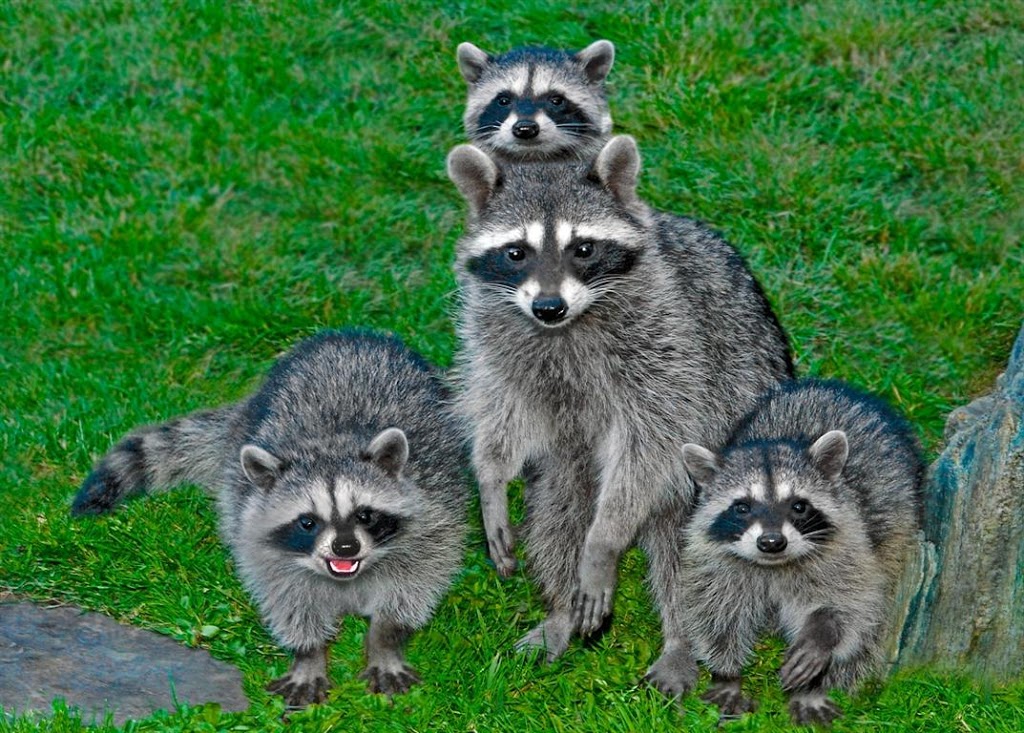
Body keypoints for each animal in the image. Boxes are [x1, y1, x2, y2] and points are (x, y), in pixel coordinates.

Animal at [72, 330, 468, 707]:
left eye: (365, 514)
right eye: (308, 522)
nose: (345, 547)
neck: (333, 445)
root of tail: (350, 335)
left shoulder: (434, 517)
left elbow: (413, 587)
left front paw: (385, 641)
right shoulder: (259, 541)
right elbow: (286, 597)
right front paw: (308, 654)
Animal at [446, 135, 793, 696]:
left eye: (583, 248)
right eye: (516, 252)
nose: (548, 306)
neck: (569, 323)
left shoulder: (669, 344)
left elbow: (649, 442)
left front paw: (604, 544)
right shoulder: (497, 334)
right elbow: (503, 408)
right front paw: (490, 477)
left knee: (688, 550)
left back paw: (681, 638)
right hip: (568, 468)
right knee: (556, 517)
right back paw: (561, 611)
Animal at [680, 379, 924, 725]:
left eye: (798, 506)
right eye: (742, 507)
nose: (771, 542)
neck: (774, 566)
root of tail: (831, 386)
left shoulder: (850, 545)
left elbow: (851, 605)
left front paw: (822, 637)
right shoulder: (714, 559)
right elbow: (716, 612)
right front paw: (726, 675)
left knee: (874, 622)